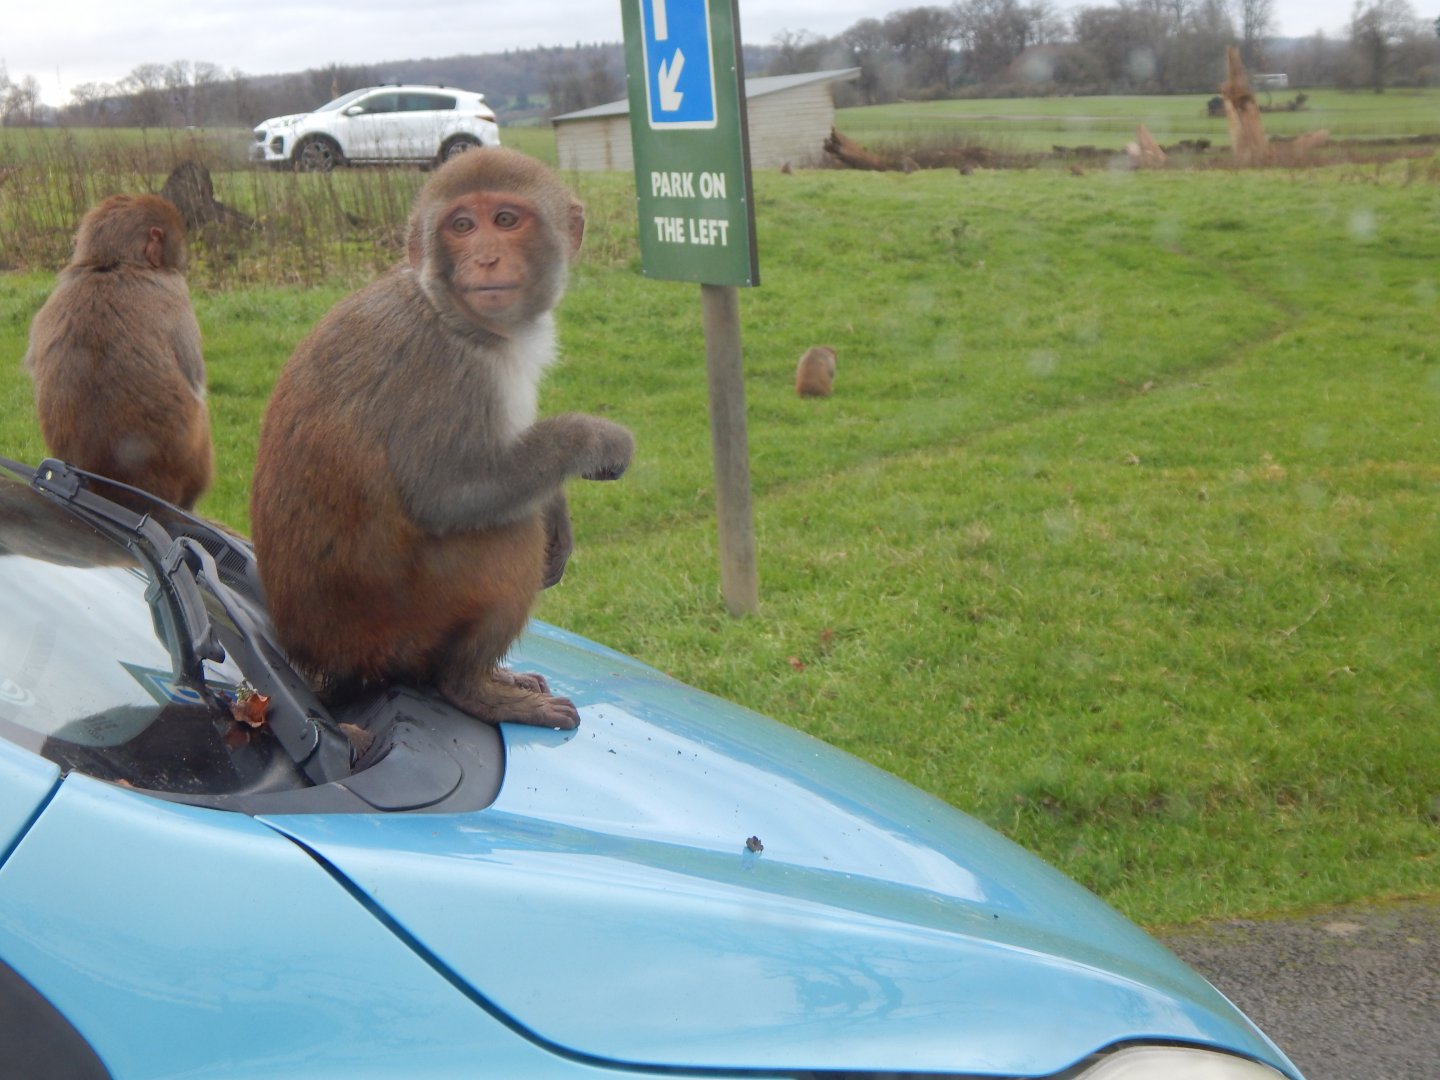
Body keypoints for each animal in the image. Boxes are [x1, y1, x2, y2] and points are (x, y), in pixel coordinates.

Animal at [250, 148, 633, 731]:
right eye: (461, 226)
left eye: (505, 220)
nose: (486, 260)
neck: (447, 308)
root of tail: (314, 658)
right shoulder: (444, 366)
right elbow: (447, 495)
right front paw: (595, 440)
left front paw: (559, 512)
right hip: (397, 629)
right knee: (507, 531)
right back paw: (470, 686)